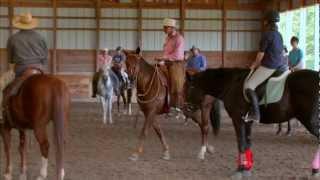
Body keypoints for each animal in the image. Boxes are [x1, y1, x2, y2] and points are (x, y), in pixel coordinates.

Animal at [189, 68, 318, 178]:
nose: (188, 108)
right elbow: (248, 143)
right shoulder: (247, 122)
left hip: (310, 121)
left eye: (189, 87)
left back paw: (315, 170)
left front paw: (240, 170)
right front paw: (246, 169)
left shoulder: (238, 119)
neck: (231, 83)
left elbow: (241, 143)